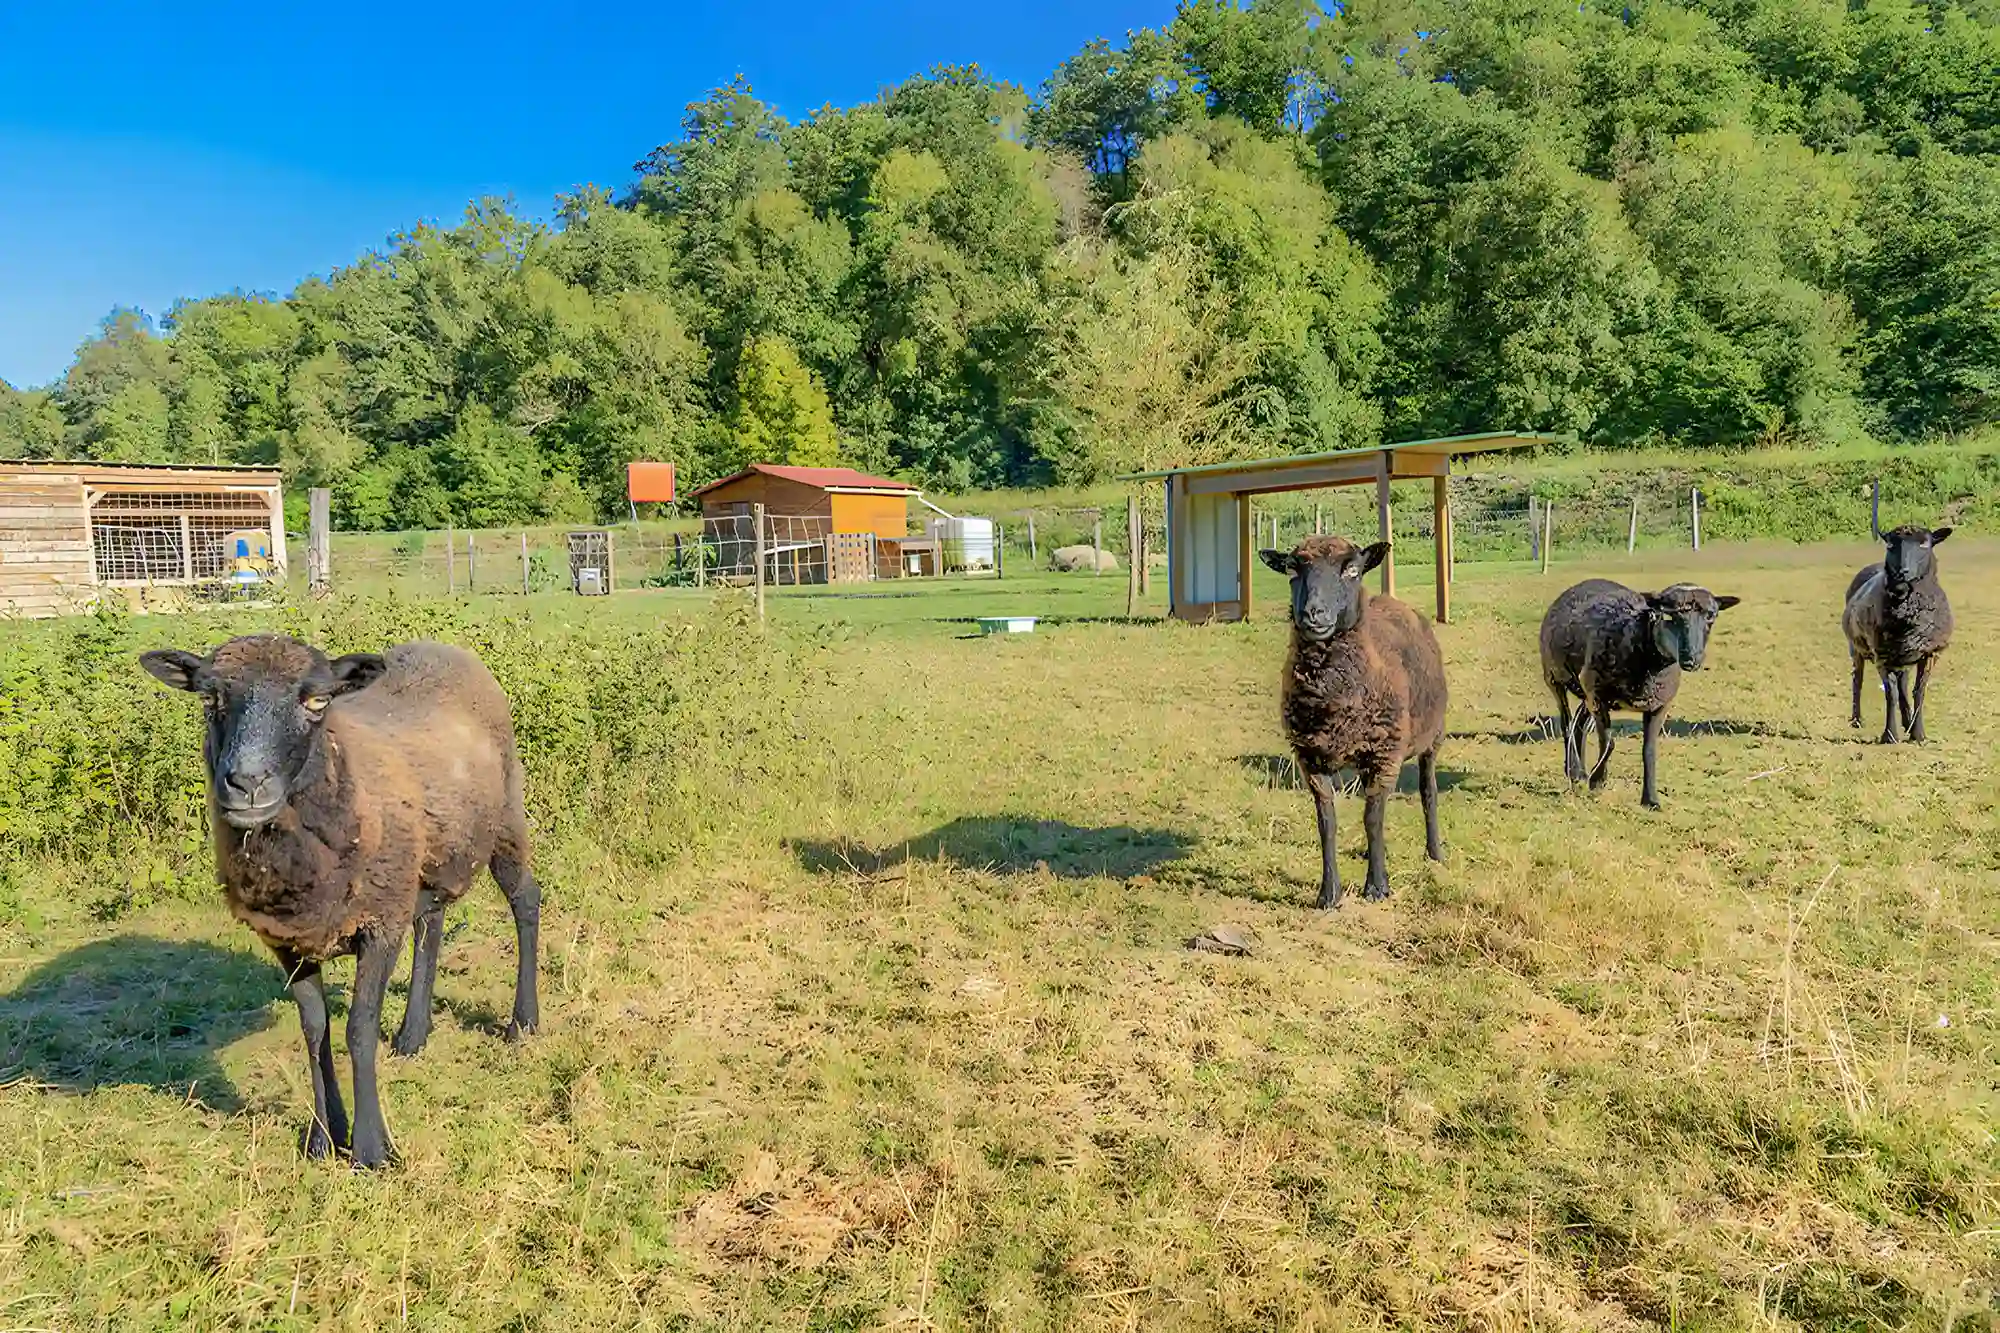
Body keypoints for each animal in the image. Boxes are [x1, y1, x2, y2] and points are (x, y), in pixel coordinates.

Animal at [140, 632, 540, 1160]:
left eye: (317, 701)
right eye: (209, 699)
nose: (247, 784)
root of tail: (445, 647)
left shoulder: (378, 927)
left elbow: (359, 1028)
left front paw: (371, 1148)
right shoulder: (289, 942)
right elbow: (315, 1030)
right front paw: (324, 1137)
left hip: (506, 819)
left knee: (525, 901)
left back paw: (524, 1023)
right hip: (421, 860)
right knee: (430, 923)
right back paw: (414, 1034)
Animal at [1256, 528, 1448, 904]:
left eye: (1352, 570)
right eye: (1291, 569)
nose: (1313, 613)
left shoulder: (1385, 755)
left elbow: (1372, 818)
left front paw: (1377, 887)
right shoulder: (1310, 757)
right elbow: (1326, 822)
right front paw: (1328, 894)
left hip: (1431, 738)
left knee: (1428, 792)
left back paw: (1434, 853)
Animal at [1544, 576, 1736, 804]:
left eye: (1710, 616)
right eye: (1668, 615)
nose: (1691, 659)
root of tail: (1584, 583)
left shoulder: (1659, 705)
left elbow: (1649, 750)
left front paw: (1651, 800)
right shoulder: (1597, 696)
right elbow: (1608, 742)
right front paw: (1597, 781)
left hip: (1587, 691)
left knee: (1579, 723)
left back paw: (1580, 773)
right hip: (1556, 678)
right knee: (1566, 724)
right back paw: (1573, 770)